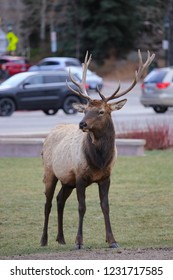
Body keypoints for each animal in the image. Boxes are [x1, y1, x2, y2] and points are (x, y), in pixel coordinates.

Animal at [41, 50, 155, 249]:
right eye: (85, 110)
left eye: (101, 111)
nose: (82, 124)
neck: (99, 160)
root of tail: (49, 134)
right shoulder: (79, 176)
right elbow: (82, 207)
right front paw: (79, 242)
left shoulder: (106, 177)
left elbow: (105, 206)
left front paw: (112, 240)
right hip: (50, 172)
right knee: (47, 203)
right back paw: (44, 240)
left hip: (67, 180)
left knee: (60, 200)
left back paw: (61, 238)